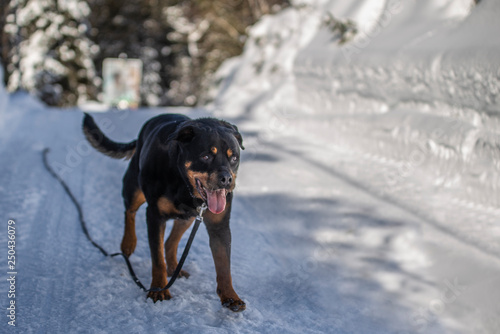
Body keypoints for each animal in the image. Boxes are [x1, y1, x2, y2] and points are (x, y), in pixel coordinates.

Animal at [82, 113, 246, 312]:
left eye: (234, 158)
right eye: (206, 156)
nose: (226, 179)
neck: (183, 182)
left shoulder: (219, 226)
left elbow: (224, 265)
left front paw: (230, 297)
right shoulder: (154, 216)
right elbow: (157, 259)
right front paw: (159, 290)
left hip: (188, 217)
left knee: (170, 242)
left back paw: (174, 267)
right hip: (134, 188)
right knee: (130, 211)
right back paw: (128, 243)